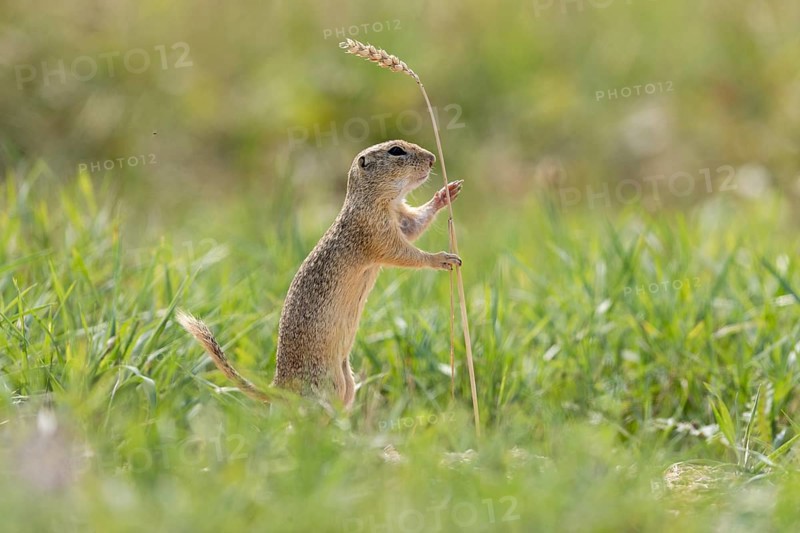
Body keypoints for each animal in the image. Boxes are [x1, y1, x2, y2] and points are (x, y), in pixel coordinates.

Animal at [177, 140, 463, 409]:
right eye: (396, 151)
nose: (432, 158)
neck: (378, 201)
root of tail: (279, 387)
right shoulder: (374, 232)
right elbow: (403, 253)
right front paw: (442, 258)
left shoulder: (400, 219)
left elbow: (415, 225)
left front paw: (446, 194)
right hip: (328, 386)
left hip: (347, 383)